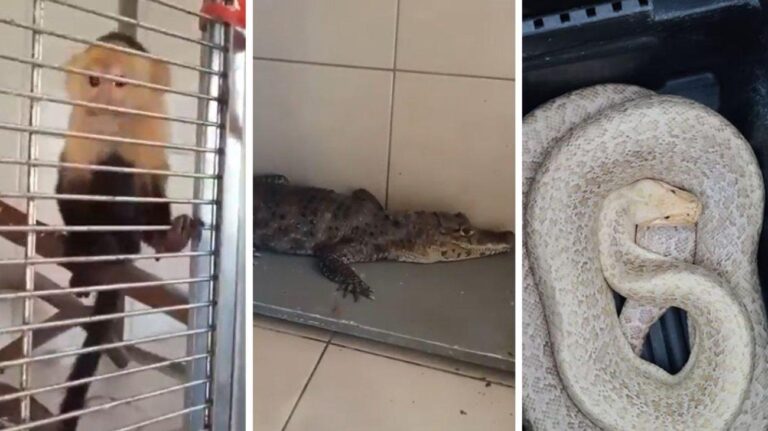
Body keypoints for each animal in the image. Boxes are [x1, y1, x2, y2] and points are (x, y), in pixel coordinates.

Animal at [55, 32, 200, 430]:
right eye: (94, 81)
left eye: (119, 83)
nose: (102, 99)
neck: (115, 128)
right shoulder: (82, 127)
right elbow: (71, 184)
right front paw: (84, 248)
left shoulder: (152, 129)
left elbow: (150, 182)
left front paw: (167, 235)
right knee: (108, 169)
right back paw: (99, 252)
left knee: (123, 172)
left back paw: (132, 242)